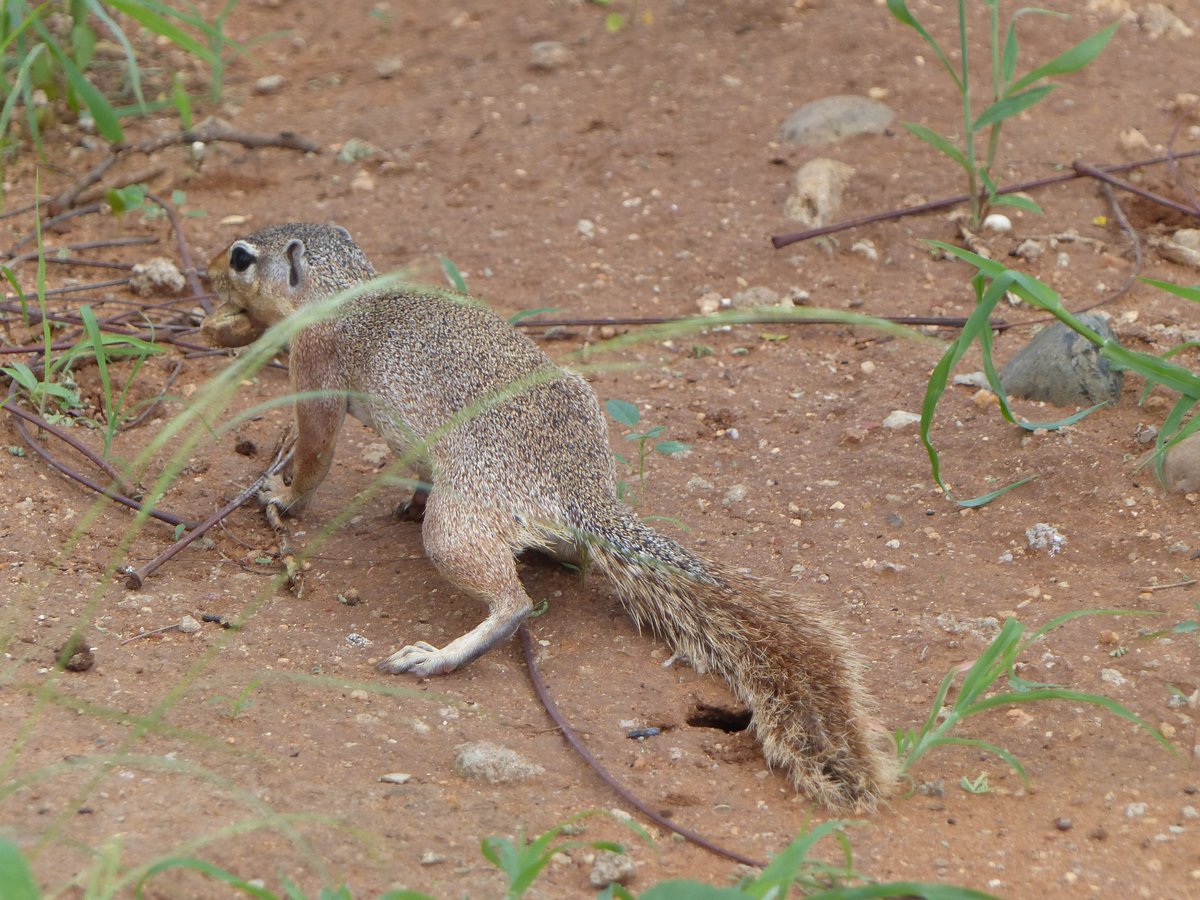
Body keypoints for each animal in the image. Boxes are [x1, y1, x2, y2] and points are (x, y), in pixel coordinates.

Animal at [206, 222, 897, 816]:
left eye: (241, 258)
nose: (206, 271)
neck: (344, 290)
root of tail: (579, 488)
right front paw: (403, 498)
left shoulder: (316, 361)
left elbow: (316, 451)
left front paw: (281, 493)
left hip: (459, 526)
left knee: (512, 603)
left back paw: (440, 656)